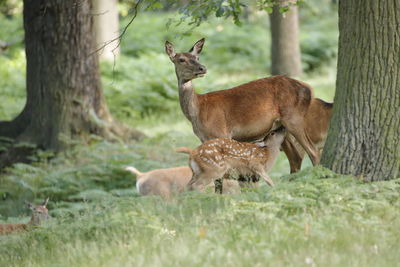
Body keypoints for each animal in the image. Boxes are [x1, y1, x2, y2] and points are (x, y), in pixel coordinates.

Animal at [165, 38, 318, 182]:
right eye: (181, 59)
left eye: (197, 57)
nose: (202, 68)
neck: (198, 111)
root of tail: (309, 88)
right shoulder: (205, 139)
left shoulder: (221, 133)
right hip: (282, 127)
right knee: (296, 158)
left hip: (294, 118)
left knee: (313, 151)